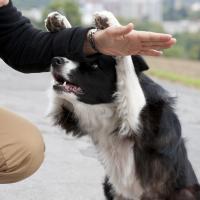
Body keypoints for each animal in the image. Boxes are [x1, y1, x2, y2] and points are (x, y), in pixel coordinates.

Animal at [45, 11, 200, 199]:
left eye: (95, 65)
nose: (55, 60)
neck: (109, 105)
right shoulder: (68, 113)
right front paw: (58, 22)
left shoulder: (138, 119)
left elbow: (126, 67)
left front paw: (112, 24)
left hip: (184, 192)